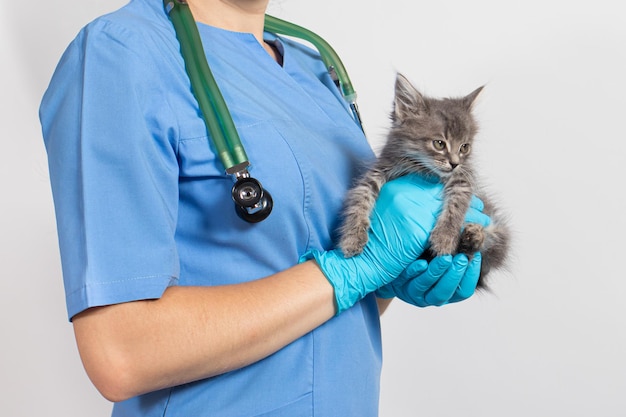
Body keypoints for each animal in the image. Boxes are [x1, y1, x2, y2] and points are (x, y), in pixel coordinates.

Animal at [336, 73, 508, 288]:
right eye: (439, 144)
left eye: (464, 147)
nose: (455, 163)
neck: (422, 167)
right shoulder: (376, 172)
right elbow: (360, 200)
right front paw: (352, 238)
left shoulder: (462, 179)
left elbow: (456, 206)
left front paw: (444, 237)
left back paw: (473, 237)